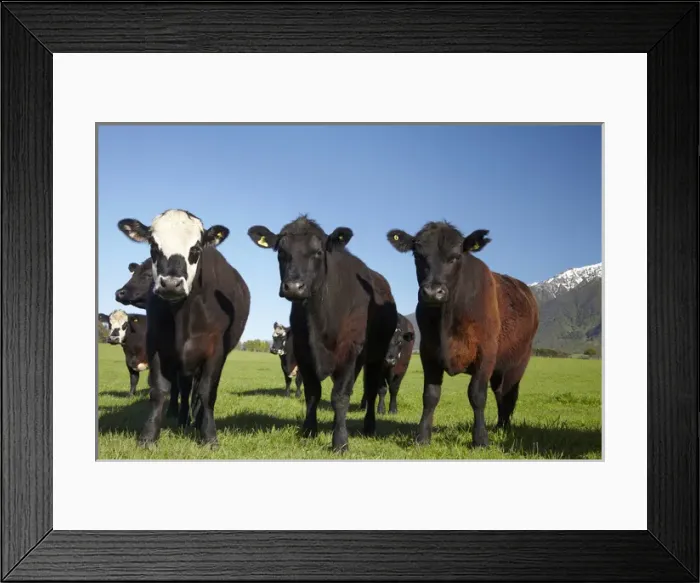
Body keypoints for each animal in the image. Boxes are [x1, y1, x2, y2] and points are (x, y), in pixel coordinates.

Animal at [117, 209, 251, 448]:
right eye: (153, 246)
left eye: (196, 249)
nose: (171, 284)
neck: (183, 318)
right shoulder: (157, 345)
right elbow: (160, 390)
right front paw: (149, 436)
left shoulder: (215, 350)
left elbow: (207, 393)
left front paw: (209, 436)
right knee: (185, 389)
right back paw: (182, 420)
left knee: (196, 391)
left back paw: (195, 421)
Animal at [248, 215, 397, 453]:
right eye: (281, 252)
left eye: (318, 252)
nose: (293, 287)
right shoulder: (303, 351)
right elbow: (312, 393)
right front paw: (309, 431)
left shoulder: (349, 351)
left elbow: (340, 397)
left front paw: (340, 441)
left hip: (375, 355)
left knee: (372, 389)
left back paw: (369, 426)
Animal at [387, 222, 539, 448]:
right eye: (418, 255)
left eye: (456, 256)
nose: (432, 292)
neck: (448, 317)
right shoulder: (428, 352)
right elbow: (430, 395)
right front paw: (422, 437)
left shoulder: (486, 353)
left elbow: (477, 395)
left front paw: (480, 439)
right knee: (500, 392)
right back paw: (499, 425)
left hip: (517, 362)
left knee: (507, 393)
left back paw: (503, 427)